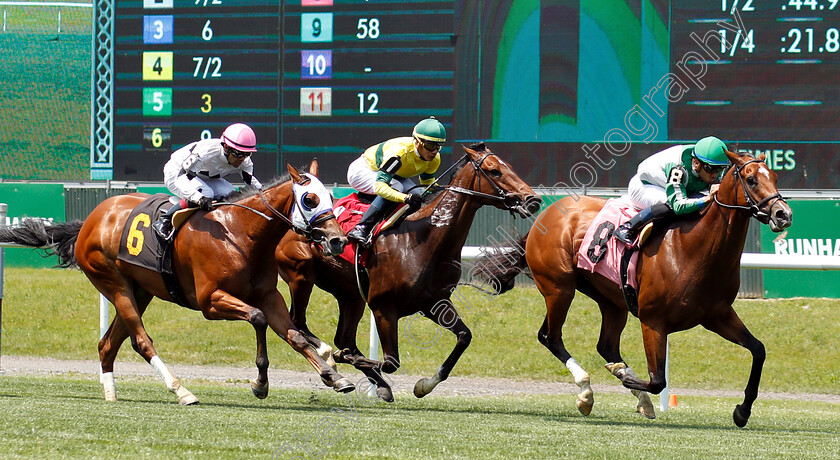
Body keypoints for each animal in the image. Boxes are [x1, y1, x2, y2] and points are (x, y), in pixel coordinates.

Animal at [0, 165, 352, 402]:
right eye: (309, 199)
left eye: (331, 196)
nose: (337, 240)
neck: (241, 234)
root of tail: (90, 219)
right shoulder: (211, 300)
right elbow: (258, 318)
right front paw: (260, 383)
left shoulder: (268, 296)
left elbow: (295, 335)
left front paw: (333, 376)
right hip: (112, 282)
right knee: (141, 340)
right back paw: (181, 390)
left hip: (139, 289)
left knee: (108, 343)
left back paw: (111, 392)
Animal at [274, 145, 540, 402]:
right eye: (494, 171)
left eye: (510, 166)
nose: (533, 199)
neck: (423, 239)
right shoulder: (384, 309)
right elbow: (391, 362)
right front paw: (340, 359)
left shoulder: (435, 302)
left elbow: (464, 337)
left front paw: (424, 385)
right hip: (301, 276)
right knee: (299, 322)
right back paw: (329, 358)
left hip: (351, 294)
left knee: (344, 338)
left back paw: (374, 383)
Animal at [476, 149, 792, 426]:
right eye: (751, 179)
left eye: (775, 176)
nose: (783, 214)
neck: (695, 247)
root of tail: (548, 212)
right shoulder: (653, 322)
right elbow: (658, 380)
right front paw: (627, 378)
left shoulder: (718, 315)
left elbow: (759, 350)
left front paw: (742, 411)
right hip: (558, 288)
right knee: (550, 337)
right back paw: (586, 391)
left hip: (612, 301)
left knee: (606, 346)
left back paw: (632, 391)